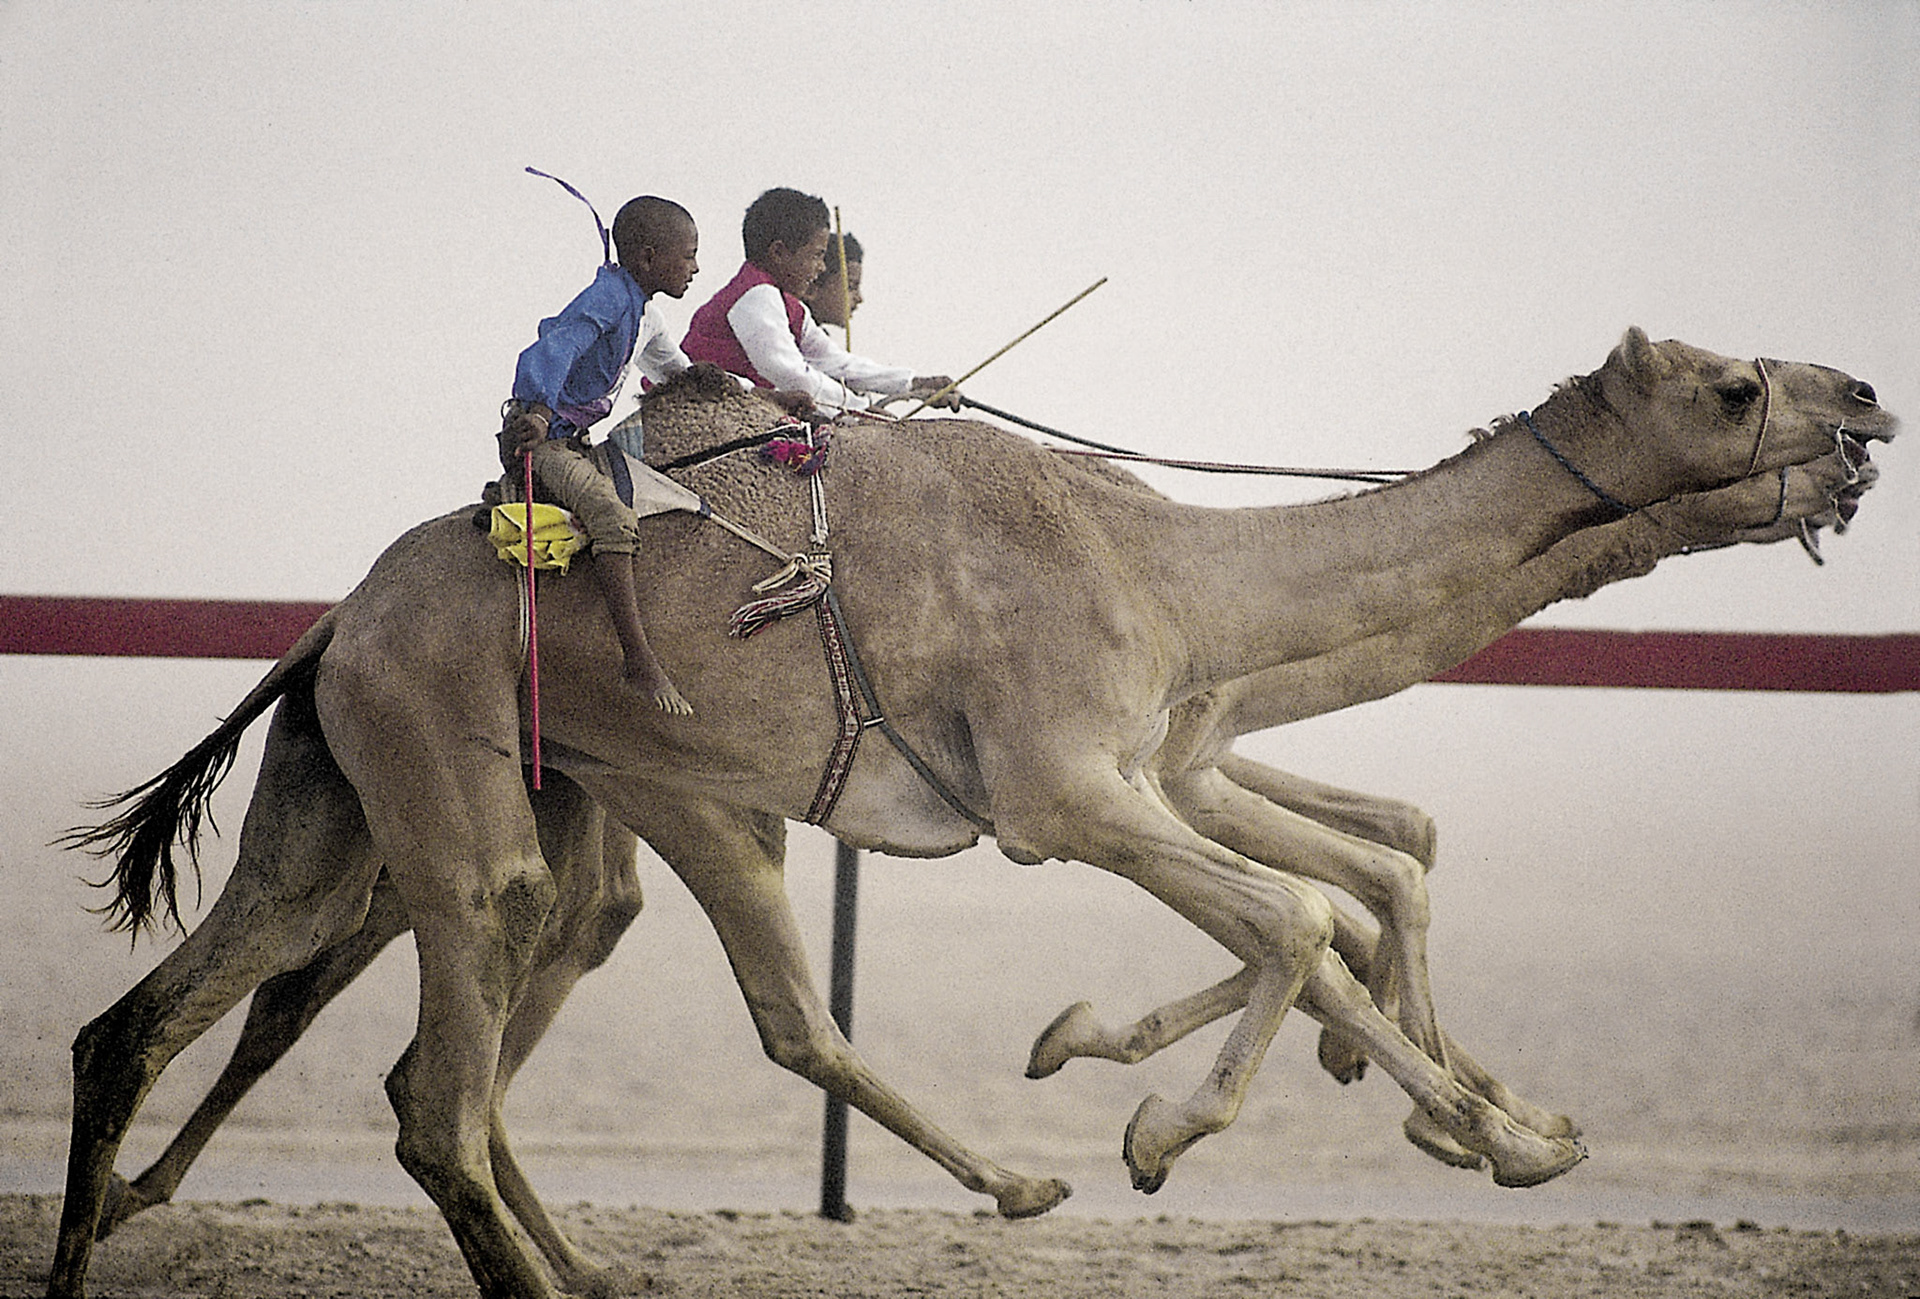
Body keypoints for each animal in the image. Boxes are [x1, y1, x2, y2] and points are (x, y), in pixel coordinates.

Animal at [46, 330, 1891, 1299]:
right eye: (1736, 386)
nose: (1866, 405)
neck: (1176, 571)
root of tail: (329, 626)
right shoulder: (1071, 787)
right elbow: (1312, 911)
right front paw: (1163, 1122)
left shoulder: (1149, 768)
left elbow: (1364, 879)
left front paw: (1497, 1124)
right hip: (455, 782)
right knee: (436, 1076)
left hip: (377, 803)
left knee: (164, 1018)